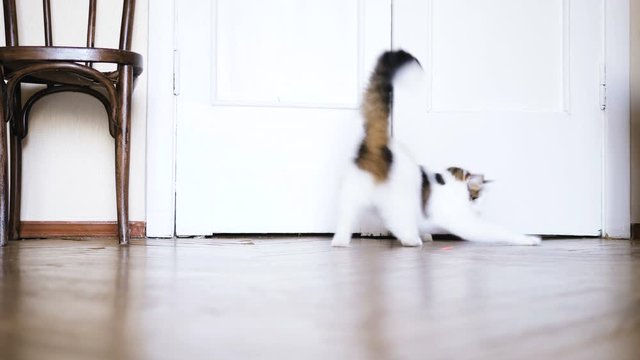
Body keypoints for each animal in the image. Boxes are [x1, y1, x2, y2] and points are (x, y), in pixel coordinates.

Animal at [332, 50, 544, 248]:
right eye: (476, 197)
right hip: (391, 198)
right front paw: (528, 239)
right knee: (392, 222)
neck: (453, 182)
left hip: (354, 193)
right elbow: (497, 231)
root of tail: (379, 142)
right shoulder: (466, 223)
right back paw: (408, 240)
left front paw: (426, 234)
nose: (480, 209)